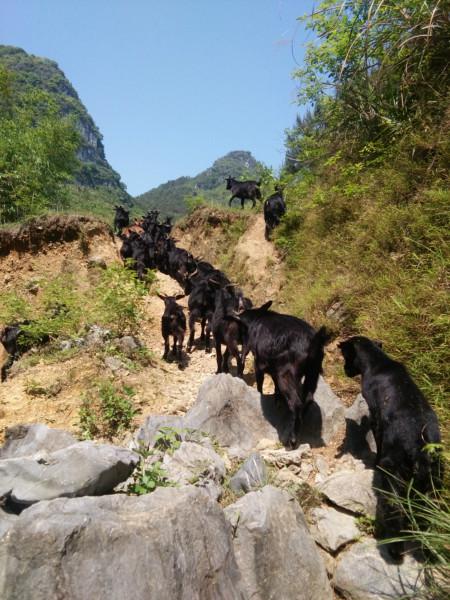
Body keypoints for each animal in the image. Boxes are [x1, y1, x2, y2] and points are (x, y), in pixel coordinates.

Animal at [236, 302, 330, 448]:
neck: (258, 319)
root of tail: (310, 342)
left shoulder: (259, 365)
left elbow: (260, 384)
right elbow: (275, 387)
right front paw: (277, 398)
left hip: (286, 375)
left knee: (296, 403)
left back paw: (292, 439)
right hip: (313, 373)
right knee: (308, 399)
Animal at [340, 336, 442, 560]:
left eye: (345, 356)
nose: (345, 370)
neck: (378, 362)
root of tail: (420, 449)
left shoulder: (376, 418)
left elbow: (377, 441)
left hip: (394, 474)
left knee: (395, 510)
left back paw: (394, 549)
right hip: (432, 483)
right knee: (426, 515)